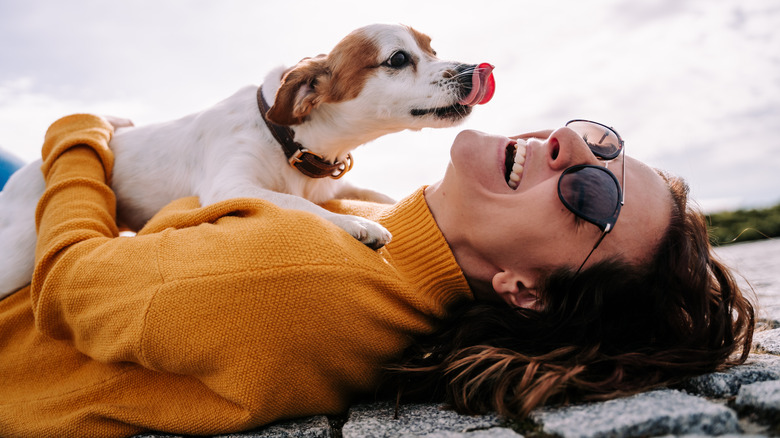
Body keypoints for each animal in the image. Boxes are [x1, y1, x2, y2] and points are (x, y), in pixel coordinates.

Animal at [0, 24, 494, 298]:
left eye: (432, 50)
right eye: (398, 58)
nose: (473, 70)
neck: (293, 143)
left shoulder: (337, 184)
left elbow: (374, 194)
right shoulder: (232, 187)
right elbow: (297, 205)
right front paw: (358, 225)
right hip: (19, 256)